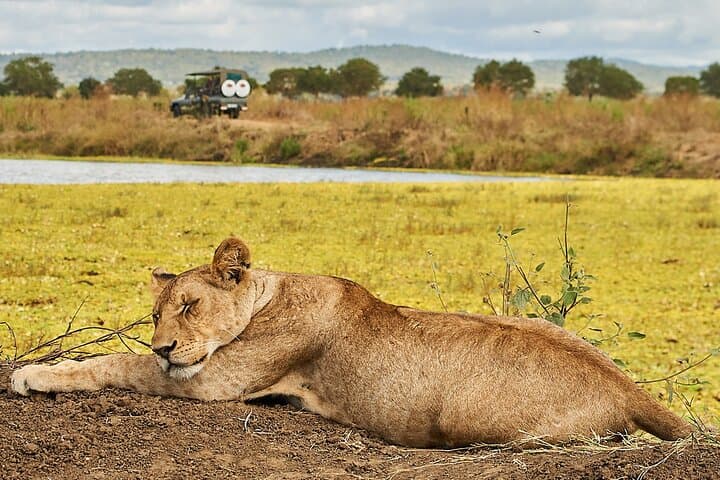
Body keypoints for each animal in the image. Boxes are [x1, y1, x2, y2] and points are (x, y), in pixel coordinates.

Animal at [11, 237, 692, 447]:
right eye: (155, 314)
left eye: (190, 306)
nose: (164, 347)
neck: (270, 293)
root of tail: (629, 388)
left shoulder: (215, 380)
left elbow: (114, 363)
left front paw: (34, 374)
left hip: (468, 419)